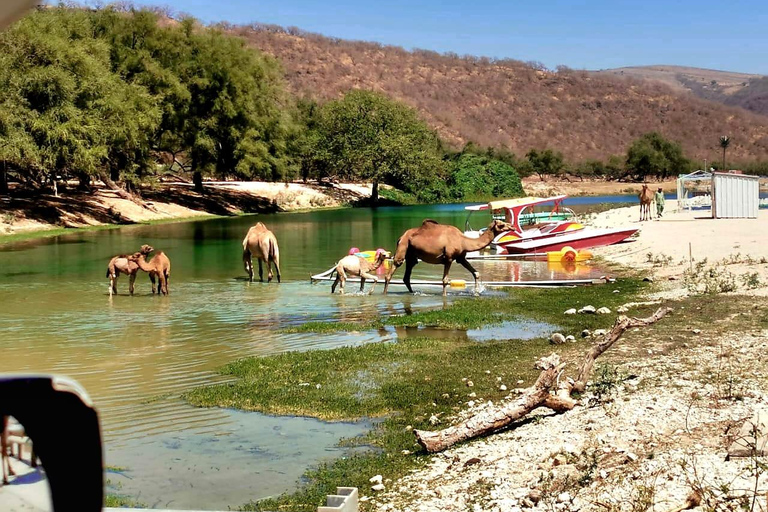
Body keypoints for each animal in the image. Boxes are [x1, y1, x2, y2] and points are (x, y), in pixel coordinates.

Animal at [384, 217, 516, 296]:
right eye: (501, 224)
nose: (512, 226)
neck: (463, 241)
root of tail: (400, 237)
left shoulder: (461, 258)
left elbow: (476, 273)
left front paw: (477, 292)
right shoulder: (449, 258)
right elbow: (445, 280)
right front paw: (444, 296)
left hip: (411, 255)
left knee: (407, 276)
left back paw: (412, 293)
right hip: (403, 247)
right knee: (391, 272)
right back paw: (384, 293)